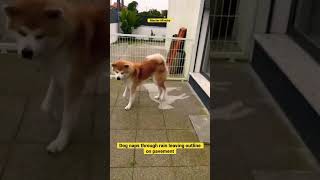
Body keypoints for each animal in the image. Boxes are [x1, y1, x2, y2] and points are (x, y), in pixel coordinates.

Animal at [3, 0, 107, 153]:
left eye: (40, 35)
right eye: (22, 32)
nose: (27, 52)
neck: (67, 40)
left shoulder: (74, 81)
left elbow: (67, 117)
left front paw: (61, 141)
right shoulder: (59, 71)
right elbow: (45, 105)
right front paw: (54, 115)